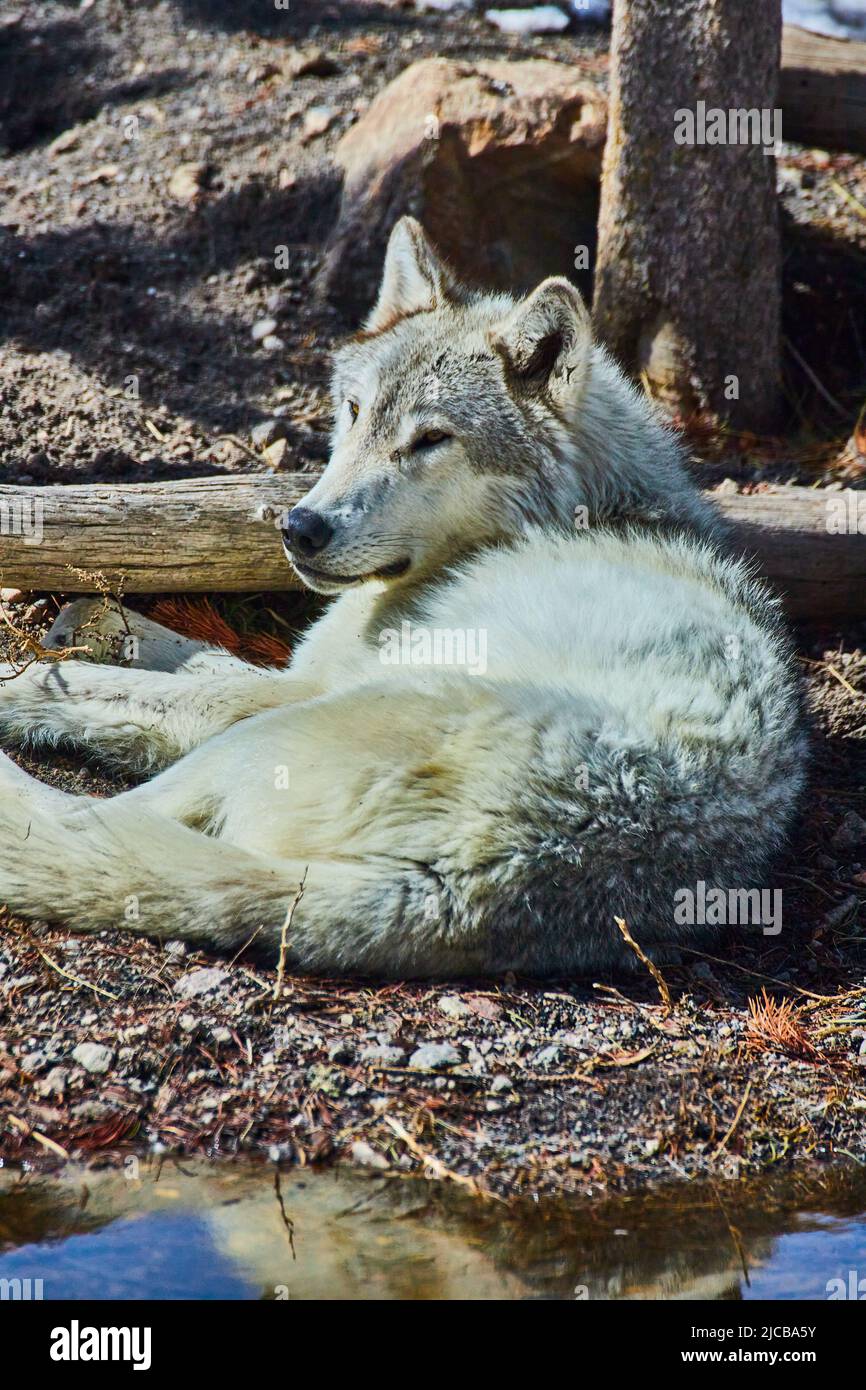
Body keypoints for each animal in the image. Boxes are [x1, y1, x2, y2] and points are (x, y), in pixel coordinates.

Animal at [0, 218, 807, 977]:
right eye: (356, 412)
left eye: (430, 441)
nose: (300, 528)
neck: (581, 511)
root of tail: (452, 890)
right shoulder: (303, 669)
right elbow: (183, 650)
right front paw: (86, 617)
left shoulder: (291, 689)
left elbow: (95, 684)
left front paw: (33, 673)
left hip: (269, 733)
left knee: (90, 820)